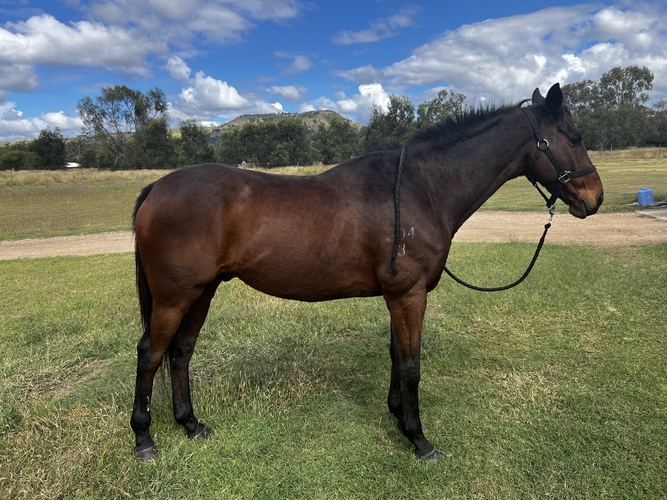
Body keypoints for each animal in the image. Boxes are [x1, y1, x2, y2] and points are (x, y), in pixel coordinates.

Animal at [130, 83, 604, 462]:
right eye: (575, 137)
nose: (595, 198)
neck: (420, 189)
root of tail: (157, 188)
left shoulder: (399, 296)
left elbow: (396, 355)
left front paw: (397, 416)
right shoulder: (410, 294)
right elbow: (411, 364)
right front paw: (419, 439)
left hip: (201, 291)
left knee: (181, 352)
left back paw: (191, 425)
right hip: (174, 298)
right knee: (151, 354)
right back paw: (144, 440)